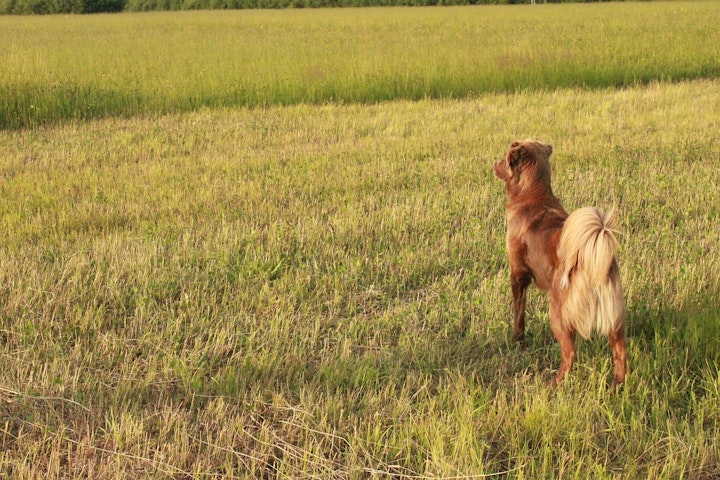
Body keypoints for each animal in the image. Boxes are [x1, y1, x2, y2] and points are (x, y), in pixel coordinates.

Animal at [496, 139, 624, 386]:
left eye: (504, 157)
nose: (493, 164)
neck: (533, 196)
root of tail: (588, 259)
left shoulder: (517, 274)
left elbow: (518, 313)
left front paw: (517, 339)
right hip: (614, 317)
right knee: (620, 353)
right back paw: (617, 386)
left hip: (557, 312)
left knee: (570, 353)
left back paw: (554, 383)